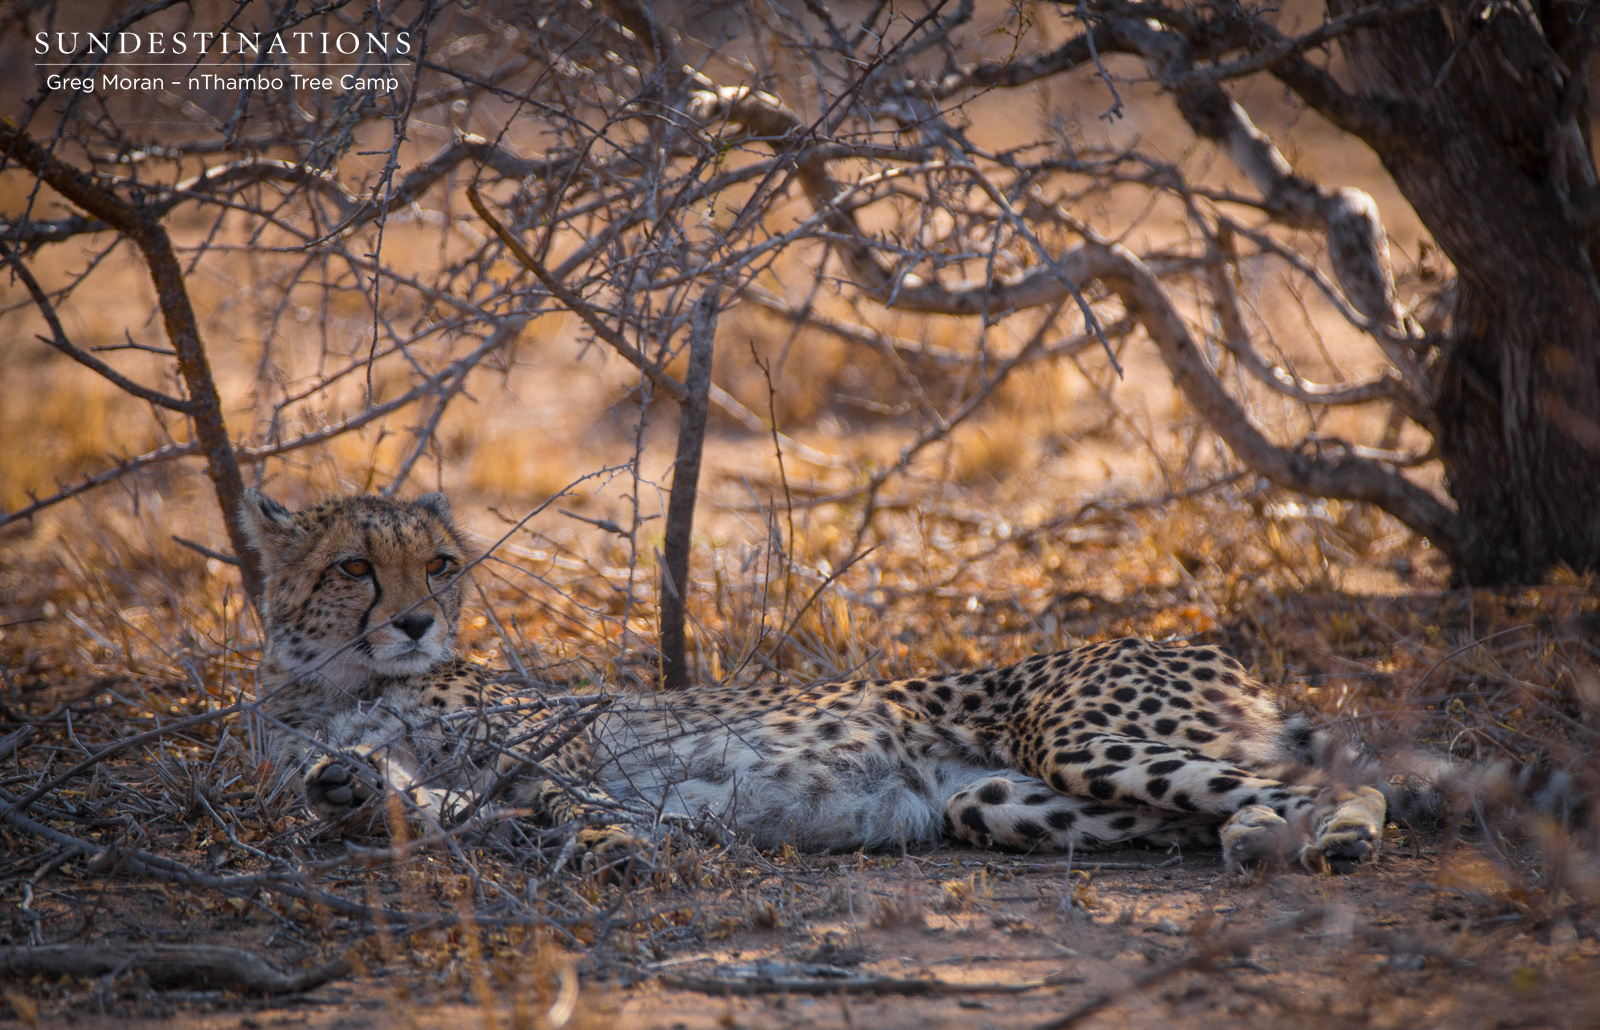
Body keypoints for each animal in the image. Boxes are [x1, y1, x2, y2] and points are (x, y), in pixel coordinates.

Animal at [244, 490, 1448, 875]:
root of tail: (1195, 640)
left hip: (1080, 737)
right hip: (996, 800)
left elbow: (572, 794)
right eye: (354, 566)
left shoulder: (568, 743)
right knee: (1217, 810)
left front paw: (624, 843)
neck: (338, 679)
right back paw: (1257, 838)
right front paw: (347, 786)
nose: (416, 621)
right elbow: (431, 802)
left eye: (440, 564)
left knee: (1342, 780)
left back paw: (1337, 833)